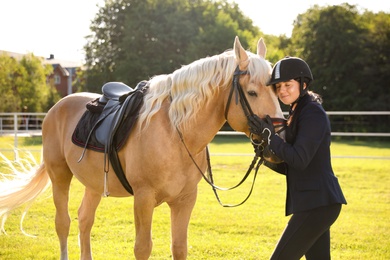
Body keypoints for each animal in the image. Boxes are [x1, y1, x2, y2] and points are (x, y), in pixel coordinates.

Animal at [0, 36, 284, 258]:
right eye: (252, 92)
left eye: (276, 90)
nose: (275, 138)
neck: (175, 132)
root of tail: (56, 108)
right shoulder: (144, 198)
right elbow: (143, 248)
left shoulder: (185, 200)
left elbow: (179, 247)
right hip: (59, 175)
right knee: (63, 223)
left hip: (94, 184)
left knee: (85, 220)